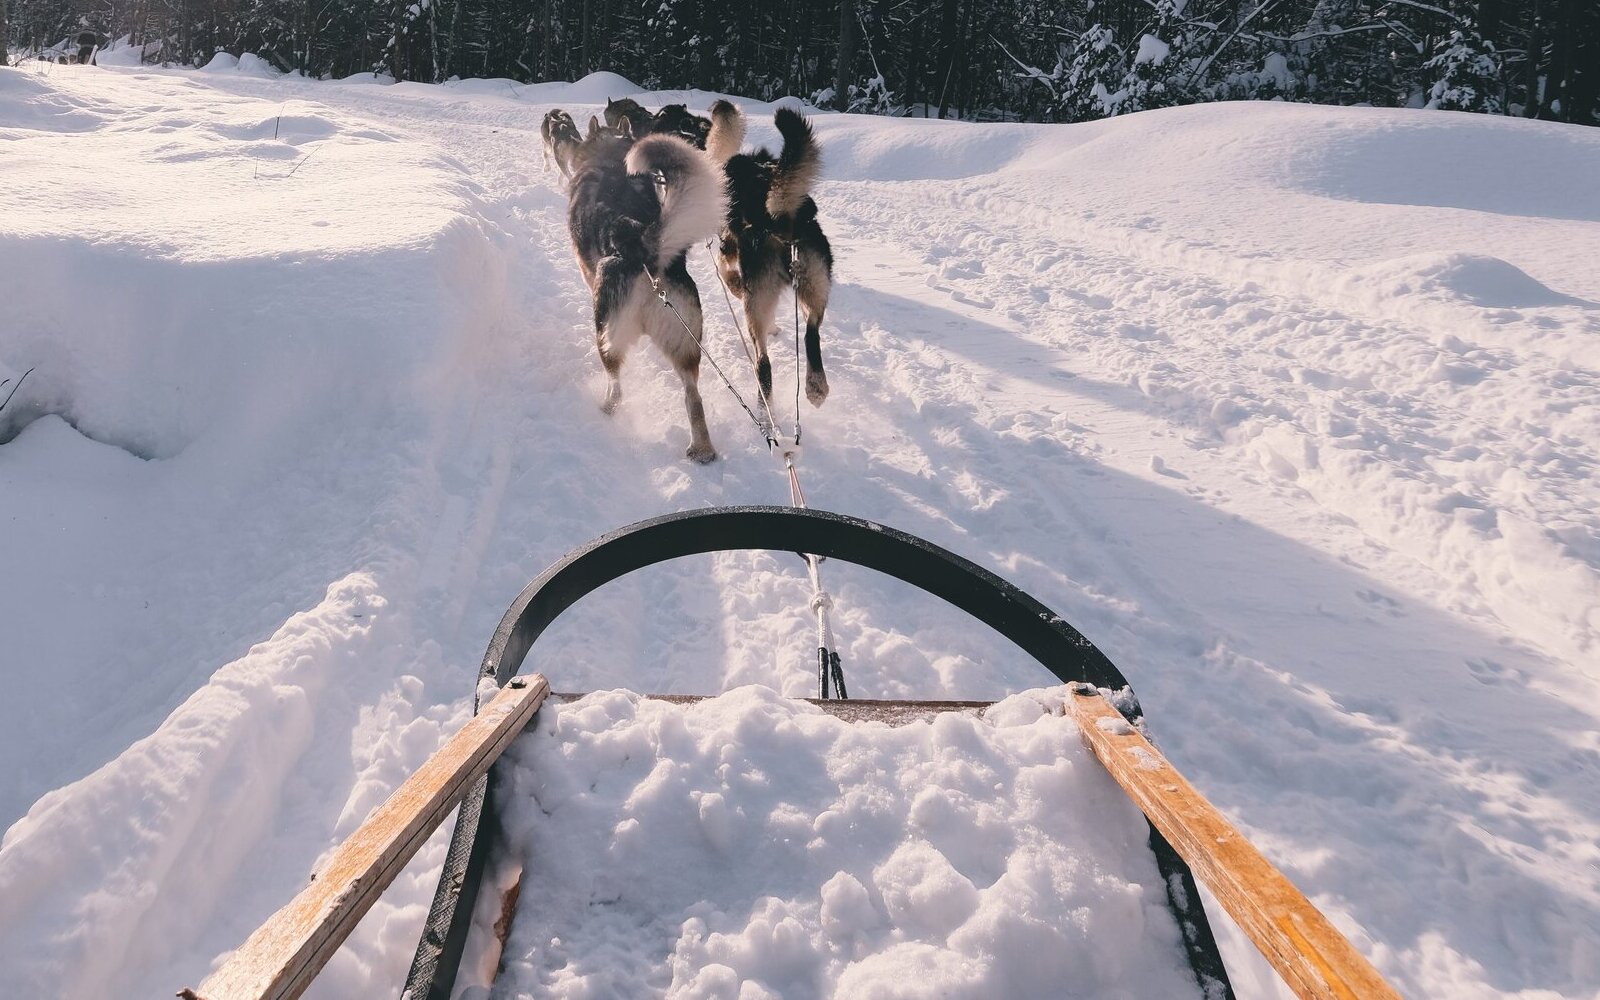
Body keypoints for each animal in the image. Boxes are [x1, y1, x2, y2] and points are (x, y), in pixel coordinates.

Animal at [566, 119, 729, 460]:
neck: (610, 160)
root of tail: (642, 248)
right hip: (686, 345)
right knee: (693, 398)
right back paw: (703, 450)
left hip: (607, 335)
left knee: (616, 386)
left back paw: (605, 409)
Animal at [713, 102, 838, 409]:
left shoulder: (726, 248)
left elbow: (726, 273)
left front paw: (734, 286)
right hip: (814, 282)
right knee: (811, 333)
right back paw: (815, 386)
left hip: (756, 300)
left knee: (763, 361)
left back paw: (764, 405)